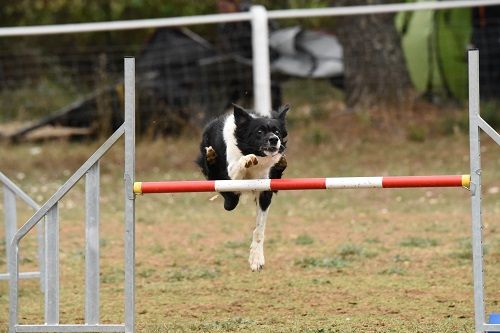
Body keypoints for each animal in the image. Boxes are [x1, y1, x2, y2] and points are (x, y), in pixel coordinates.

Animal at [196, 104, 290, 270]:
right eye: (259, 131)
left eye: (277, 132)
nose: (274, 139)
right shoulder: (232, 175)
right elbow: (240, 163)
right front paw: (247, 160)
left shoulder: (265, 188)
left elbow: (259, 229)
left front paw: (256, 259)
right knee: (229, 199)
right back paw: (211, 157)